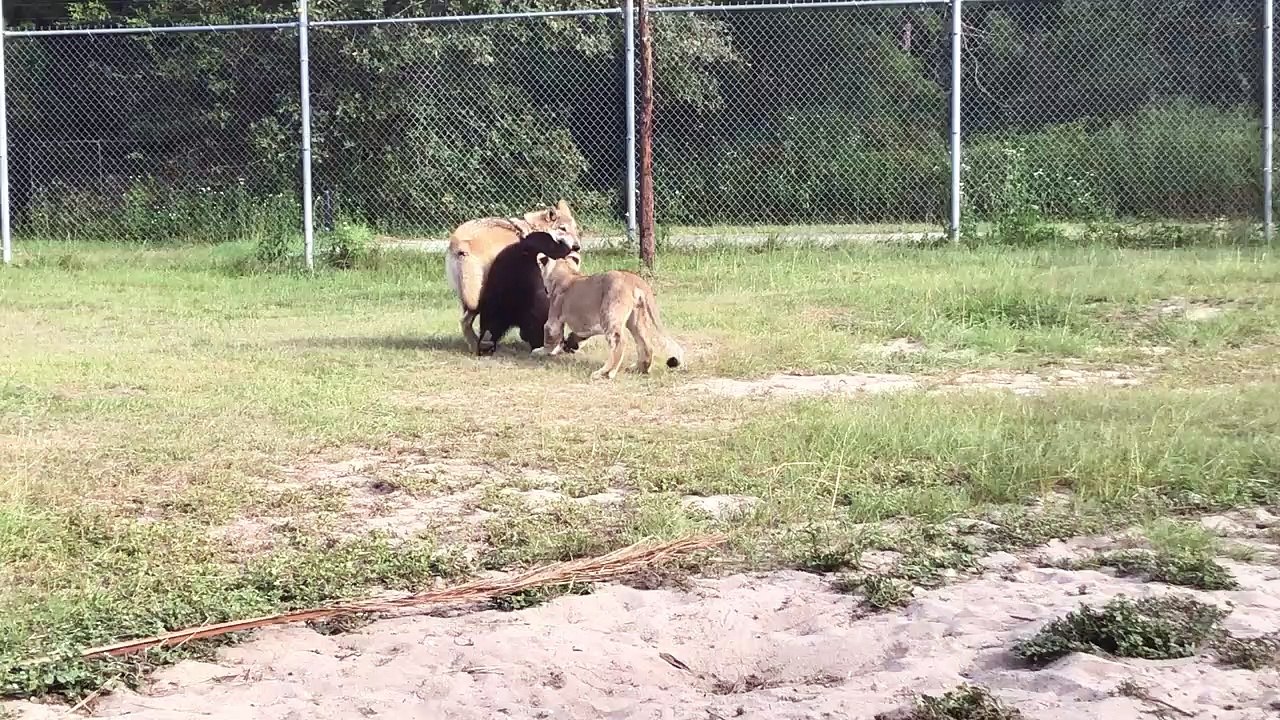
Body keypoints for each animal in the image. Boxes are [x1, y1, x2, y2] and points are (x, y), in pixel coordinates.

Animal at [444, 200, 581, 351]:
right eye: (563, 229)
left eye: (574, 229)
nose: (577, 247)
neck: (534, 229)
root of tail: (460, 241)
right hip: (480, 293)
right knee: (468, 320)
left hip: (468, 294)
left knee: (465, 321)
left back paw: (475, 345)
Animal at [532, 252, 684, 380]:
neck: (568, 273)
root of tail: (634, 279)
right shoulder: (587, 325)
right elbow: (576, 335)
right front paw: (567, 345)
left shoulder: (554, 319)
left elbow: (549, 335)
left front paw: (542, 351)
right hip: (636, 319)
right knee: (646, 343)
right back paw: (639, 369)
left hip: (609, 315)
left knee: (620, 343)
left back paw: (605, 372)